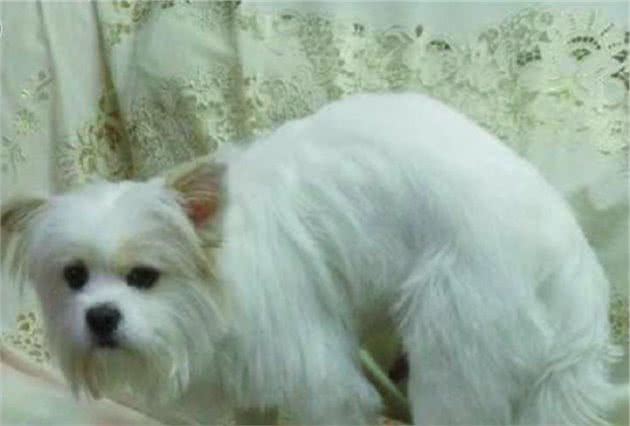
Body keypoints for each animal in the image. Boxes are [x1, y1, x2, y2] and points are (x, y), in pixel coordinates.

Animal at [1, 93, 623, 425]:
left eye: (144, 277)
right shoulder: (248, 388)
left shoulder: (320, 383)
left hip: (453, 349)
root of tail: (572, 257)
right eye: (74, 277)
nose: (101, 317)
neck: (216, 279)